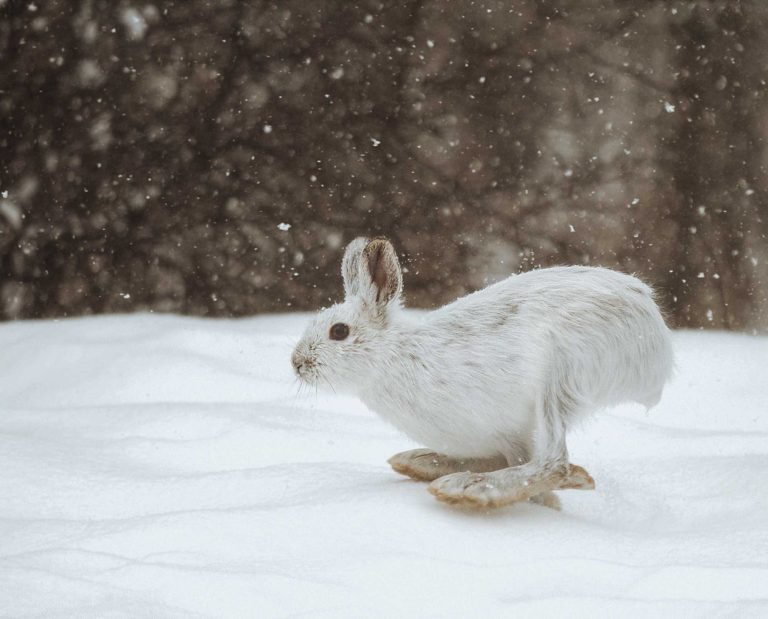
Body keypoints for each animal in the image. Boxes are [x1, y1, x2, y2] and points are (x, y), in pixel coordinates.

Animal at [291, 237, 674, 509]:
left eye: (339, 331)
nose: (297, 362)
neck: (393, 354)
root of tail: (656, 338)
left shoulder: (509, 431)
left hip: (561, 373)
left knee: (554, 461)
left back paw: (466, 489)